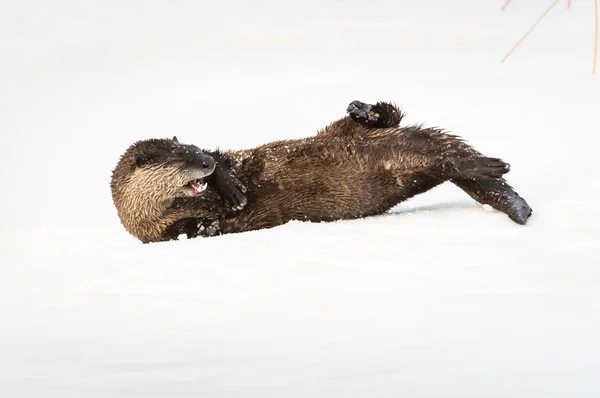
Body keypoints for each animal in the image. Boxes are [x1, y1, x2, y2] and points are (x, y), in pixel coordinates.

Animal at [110, 99, 532, 243]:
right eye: (182, 160)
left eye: (193, 149)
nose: (206, 164)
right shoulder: (156, 233)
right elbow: (192, 230)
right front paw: (209, 222)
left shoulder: (229, 156)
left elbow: (230, 160)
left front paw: (231, 186)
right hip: (407, 170)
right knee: (447, 162)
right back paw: (509, 190)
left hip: (356, 136)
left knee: (390, 114)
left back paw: (364, 109)